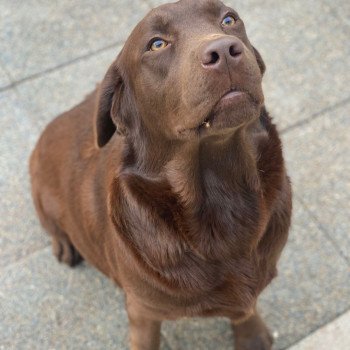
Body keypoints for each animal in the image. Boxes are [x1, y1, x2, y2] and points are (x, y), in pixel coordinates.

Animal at [30, 1, 292, 348]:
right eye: (156, 44)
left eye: (229, 20)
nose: (225, 50)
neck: (219, 191)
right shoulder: (143, 310)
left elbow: (246, 310)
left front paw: (252, 334)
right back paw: (64, 246)